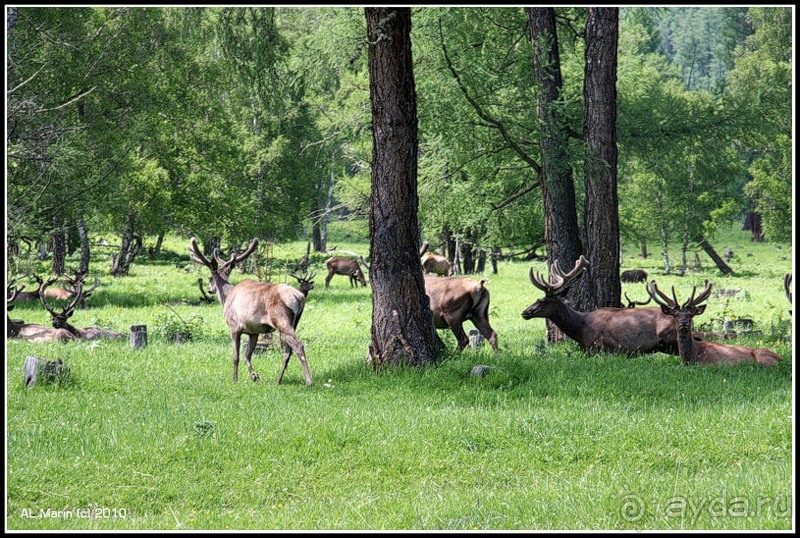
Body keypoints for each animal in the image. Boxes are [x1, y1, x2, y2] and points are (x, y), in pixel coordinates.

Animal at [188, 237, 312, 384]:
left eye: (210, 277)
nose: (209, 289)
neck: (226, 297)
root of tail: (299, 297)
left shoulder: (234, 326)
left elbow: (236, 356)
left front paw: (235, 379)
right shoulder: (254, 331)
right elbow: (247, 355)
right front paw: (254, 376)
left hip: (281, 320)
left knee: (298, 346)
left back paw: (309, 381)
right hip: (295, 322)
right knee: (288, 351)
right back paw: (278, 381)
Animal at [648, 278, 784, 366]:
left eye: (691, 315)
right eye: (675, 315)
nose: (684, 323)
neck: (692, 357)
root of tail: (782, 359)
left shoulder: (712, 364)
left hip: (762, 356)